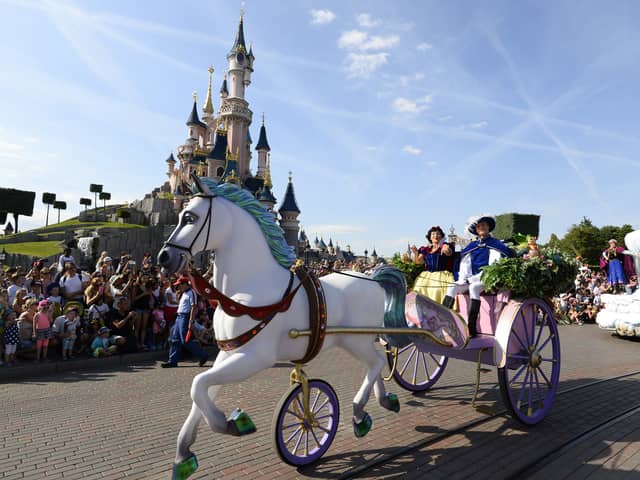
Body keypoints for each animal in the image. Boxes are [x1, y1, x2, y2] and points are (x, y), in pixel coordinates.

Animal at [157, 177, 402, 480]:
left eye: (190, 217)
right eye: (180, 214)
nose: (164, 257)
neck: (247, 290)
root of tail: (372, 278)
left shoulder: (255, 357)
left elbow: (198, 384)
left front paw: (230, 423)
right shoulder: (228, 352)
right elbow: (201, 391)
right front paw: (184, 456)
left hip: (354, 340)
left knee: (377, 361)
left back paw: (358, 411)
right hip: (358, 339)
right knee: (376, 363)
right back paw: (378, 404)